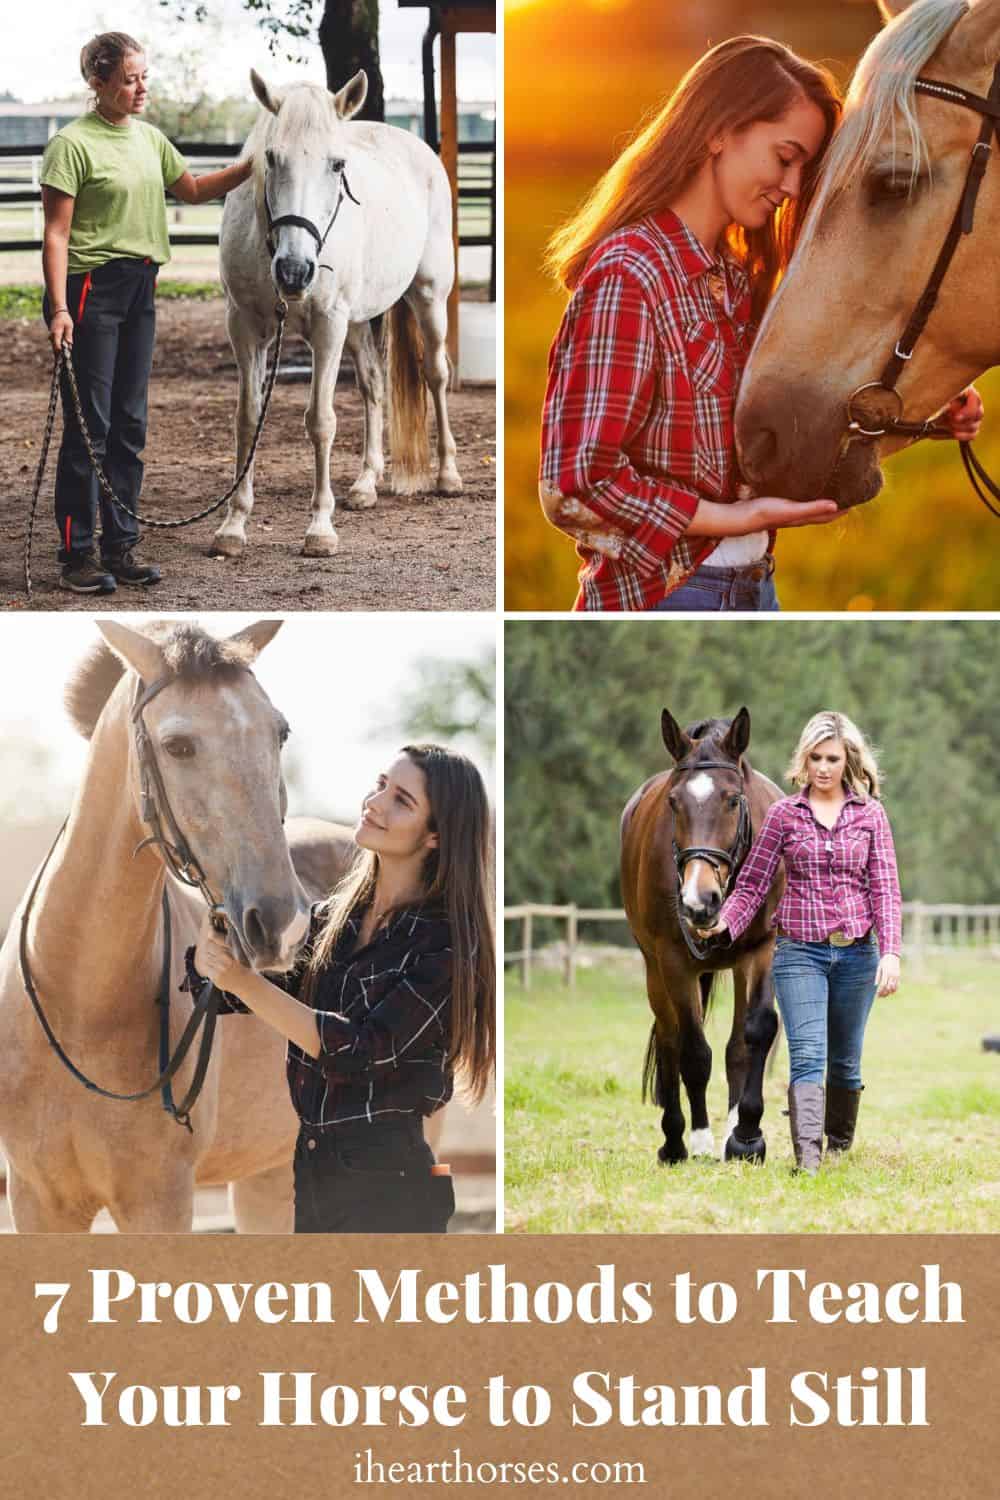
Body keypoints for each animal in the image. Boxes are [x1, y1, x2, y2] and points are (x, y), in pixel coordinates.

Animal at [0, 618, 355, 1232]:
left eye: (279, 733)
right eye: (178, 746)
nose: (284, 927)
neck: (80, 1003)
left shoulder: (159, 1200)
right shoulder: (37, 1200)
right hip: (266, 1178)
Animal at [214, 68, 462, 560]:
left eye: (337, 165)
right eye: (271, 158)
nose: (294, 271)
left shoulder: (328, 326)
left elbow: (321, 422)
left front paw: (319, 528)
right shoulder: (245, 327)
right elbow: (247, 418)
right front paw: (234, 524)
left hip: (428, 299)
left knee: (436, 374)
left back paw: (447, 474)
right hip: (358, 323)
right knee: (373, 385)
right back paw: (366, 483)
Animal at [620, 708, 785, 1166]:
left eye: (732, 800)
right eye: (674, 802)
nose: (699, 901)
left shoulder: (762, 951)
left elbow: (753, 1034)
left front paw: (746, 1137)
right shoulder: (674, 961)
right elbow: (692, 1052)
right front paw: (698, 1139)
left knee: (732, 1047)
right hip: (655, 969)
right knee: (670, 1039)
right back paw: (675, 1141)